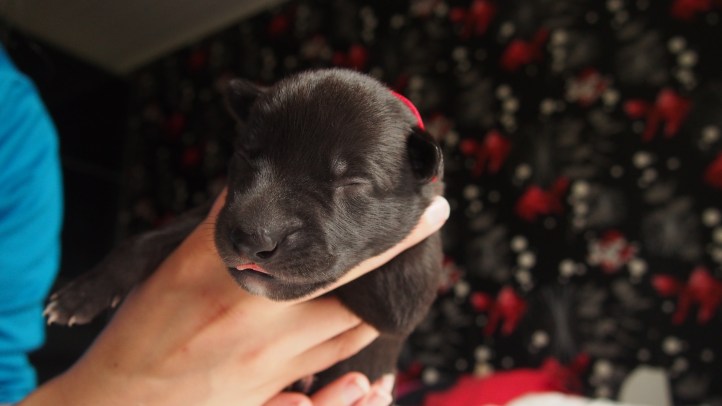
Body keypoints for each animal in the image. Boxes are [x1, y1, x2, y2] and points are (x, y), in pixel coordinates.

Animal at [45, 68, 444, 393]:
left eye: (353, 182)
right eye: (247, 155)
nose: (253, 239)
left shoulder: (406, 290)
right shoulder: (212, 211)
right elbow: (147, 239)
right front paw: (81, 294)